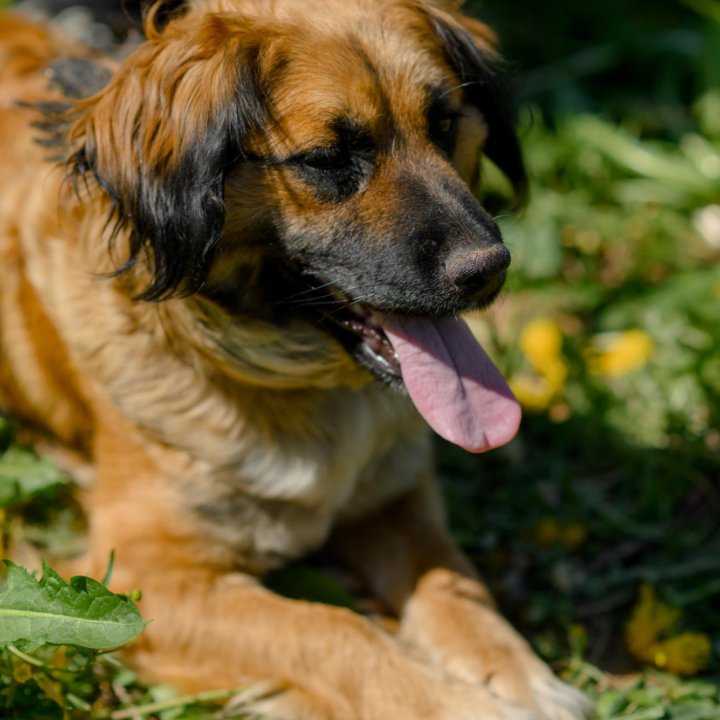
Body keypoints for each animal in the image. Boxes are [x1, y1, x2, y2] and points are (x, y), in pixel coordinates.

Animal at [0, 2, 592, 716]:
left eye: (445, 125)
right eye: (328, 159)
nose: (488, 269)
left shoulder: (395, 500)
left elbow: (455, 584)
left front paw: (515, 673)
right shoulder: (143, 578)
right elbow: (332, 628)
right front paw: (455, 702)